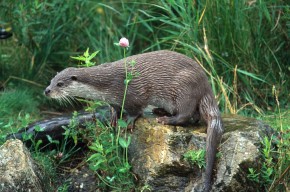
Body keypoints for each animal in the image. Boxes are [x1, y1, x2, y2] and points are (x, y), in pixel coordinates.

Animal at [44, 50, 223, 191]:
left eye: (60, 84)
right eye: (51, 80)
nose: (47, 91)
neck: (105, 85)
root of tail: (205, 84)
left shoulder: (132, 93)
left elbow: (136, 110)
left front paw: (128, 121)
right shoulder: (114, 100)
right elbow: (115, 109)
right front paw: (114, 118)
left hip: (184, 89)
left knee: (187, 114)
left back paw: (165, 119)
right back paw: (159, 111)